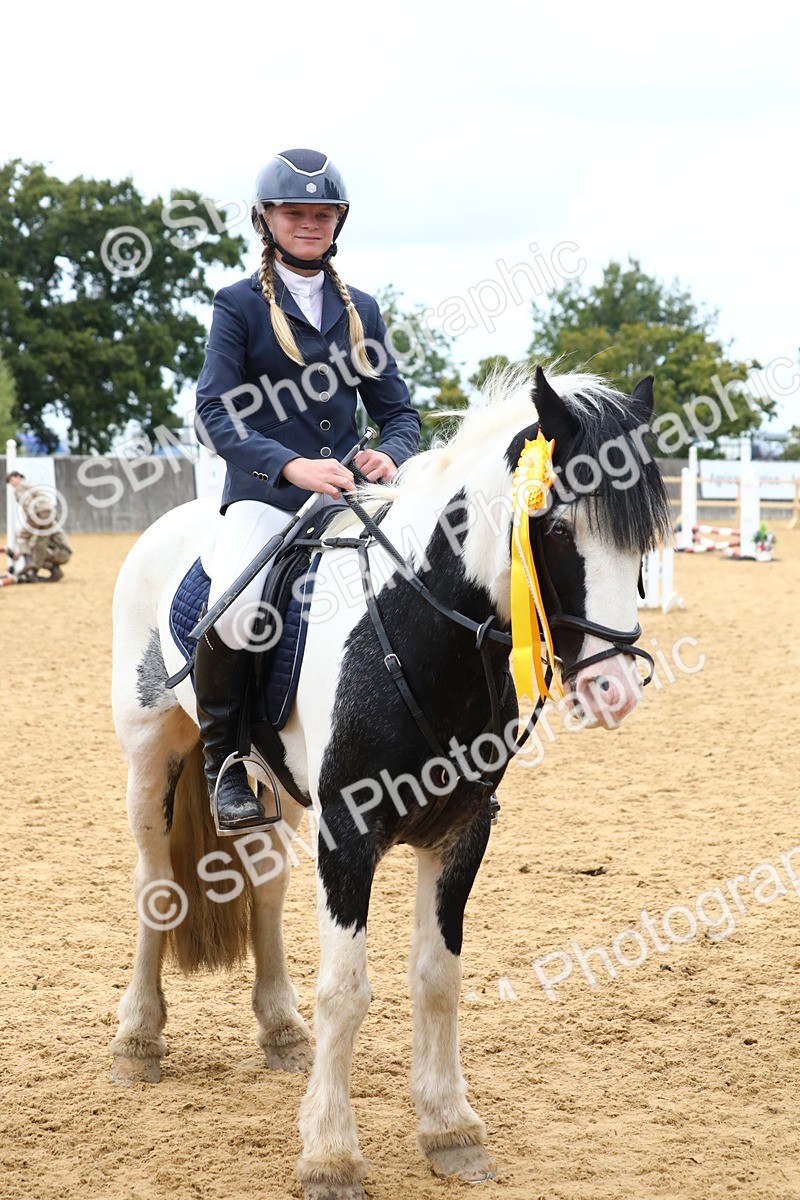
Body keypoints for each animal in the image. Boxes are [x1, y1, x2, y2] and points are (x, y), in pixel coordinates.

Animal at [109, 365, 671, 1199]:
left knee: (265, 886)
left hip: (271, 790)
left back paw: (282, 1032)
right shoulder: (347, 833)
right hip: (152, 759)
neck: (416, 627)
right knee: (157, 887)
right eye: (558, 527)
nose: (615, 691)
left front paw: (450, 1129)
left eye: (643, 539)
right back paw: (138, 1039)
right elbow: (346, 991)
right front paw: (331, 1155)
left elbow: (437, 977)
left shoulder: (460, 831)